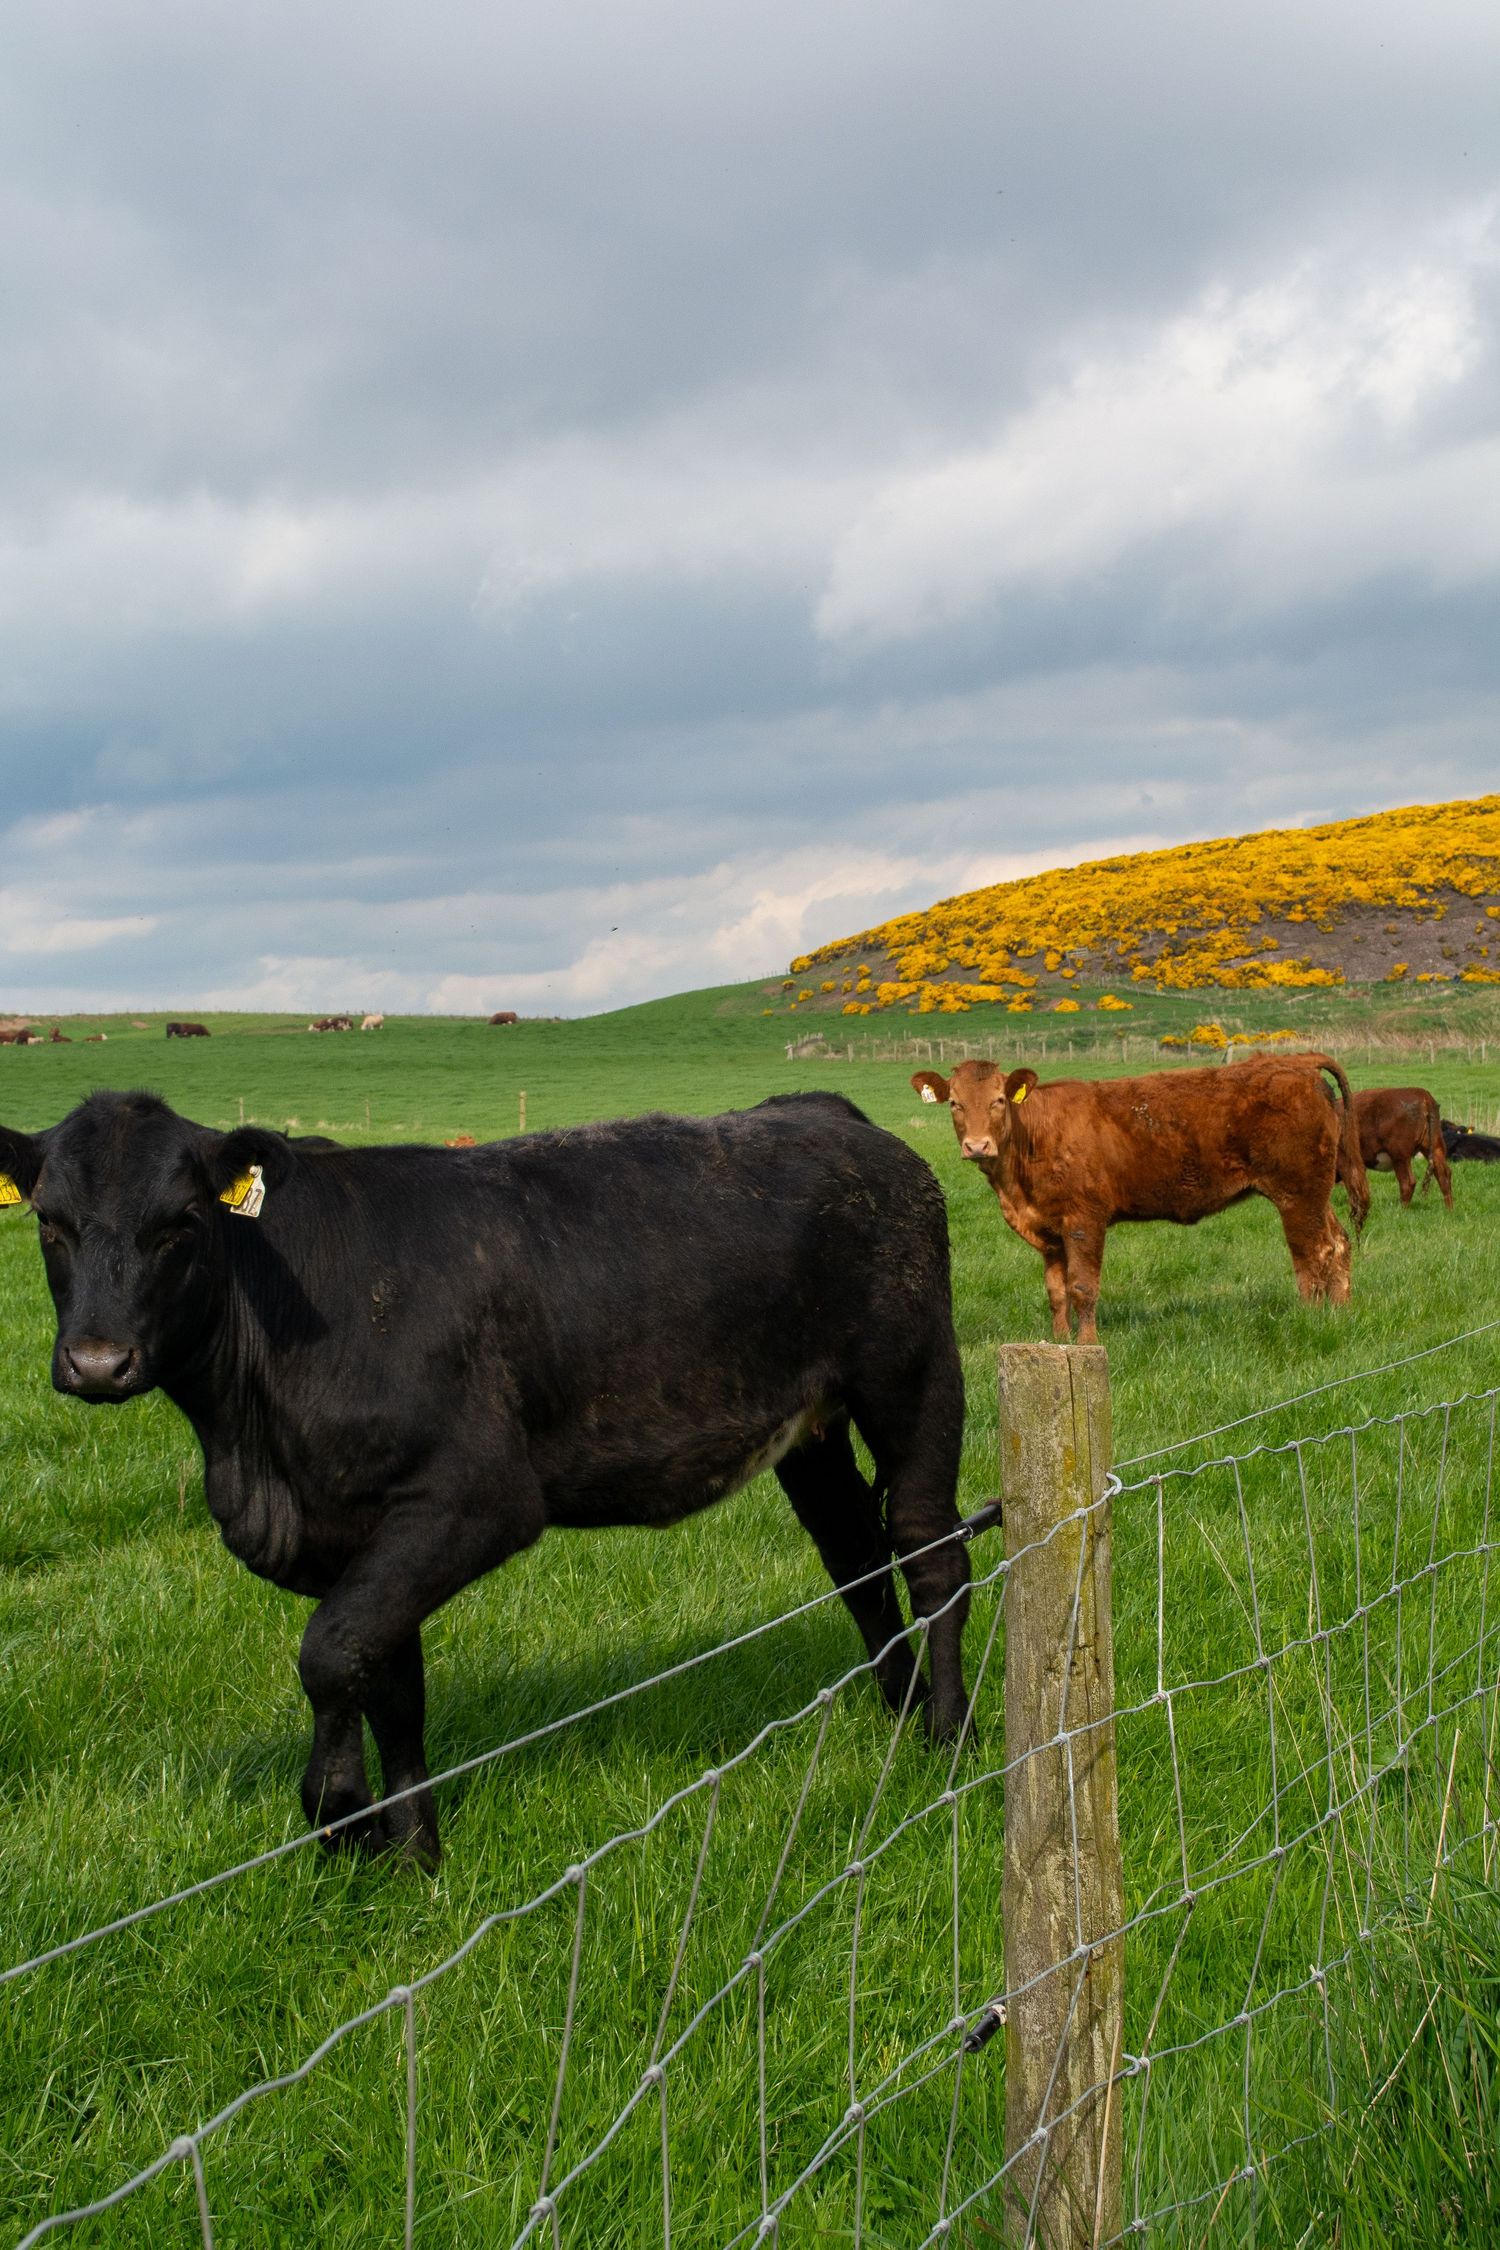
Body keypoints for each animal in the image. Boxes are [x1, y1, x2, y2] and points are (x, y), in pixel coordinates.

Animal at [0, 1089, 970, 1865]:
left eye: (181, 1225)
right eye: (49, 1224)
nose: (97, 1362)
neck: (255, 1451)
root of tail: (817, 1109)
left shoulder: (476, 1498)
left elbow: (328, 1653)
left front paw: (341, 1816)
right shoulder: (366, 1527)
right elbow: (387, 1679)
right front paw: (413, 1854)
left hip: (913, 1375)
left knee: (932, 1553)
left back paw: (950, 1735)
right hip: (811, 1427)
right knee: (855, 1560)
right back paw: (902, 1709)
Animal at [912, 1050, 1369, 1343]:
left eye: (999, 1100)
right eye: (954, 1104)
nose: (977, 1146)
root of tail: (1296, 1063)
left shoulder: (1084, 1220)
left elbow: (1082, 1286)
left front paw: (1087, 1344)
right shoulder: (1049, 1230)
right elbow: (1056, 1292)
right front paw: (1059, 1341)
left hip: (1297, 1195)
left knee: (1312, 1256)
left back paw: (1312, 1320)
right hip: (1317, 1194)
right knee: (1339, 1243)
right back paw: (1342, 1313)